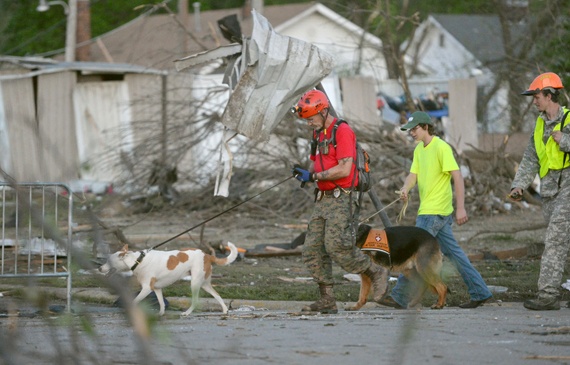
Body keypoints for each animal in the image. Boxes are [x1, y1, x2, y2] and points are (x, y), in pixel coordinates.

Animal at [98, 240, 236, 314]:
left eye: (109, 261)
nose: (99, 268)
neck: (138, 260)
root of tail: (207, 255)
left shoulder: (146, 289)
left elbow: (135, 301)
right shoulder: (157, 289)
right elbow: (161, 303)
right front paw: (161, 314)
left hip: (195, 283)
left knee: (196, 300)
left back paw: (187, 313)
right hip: (204, 284)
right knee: (217, 294)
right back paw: (225, 310)